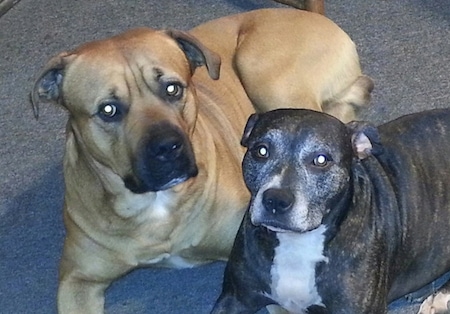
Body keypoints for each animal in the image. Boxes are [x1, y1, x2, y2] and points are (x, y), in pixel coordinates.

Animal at [31, 7, 374, 314]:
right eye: (108, 109)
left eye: (173, 88)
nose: (168, 147)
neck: (156, 205)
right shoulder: (77, 280)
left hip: (262, 71)